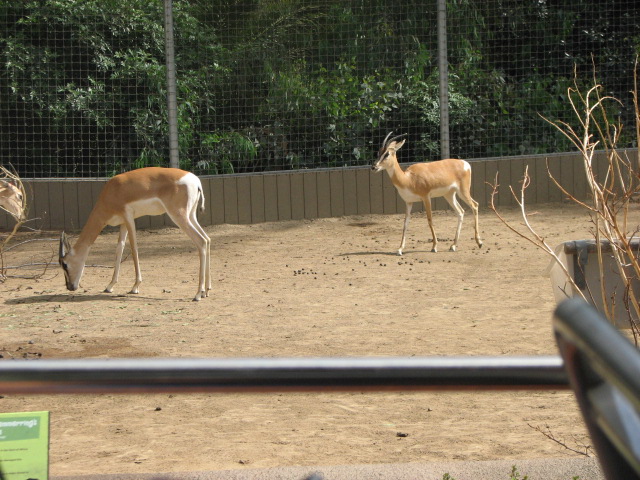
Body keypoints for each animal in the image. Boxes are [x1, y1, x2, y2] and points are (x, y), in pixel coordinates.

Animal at [59, 167, 211, 301]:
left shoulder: (128, 217)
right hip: (191, 215)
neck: (112, 191)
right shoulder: (122, 223)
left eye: (64, 264)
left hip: (178, 215)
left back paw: (198, 294)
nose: (70, 286)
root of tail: (196, 181)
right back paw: (206, 290)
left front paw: (135, 287)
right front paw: (110, 286)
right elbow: (119, 249)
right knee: (208, 239)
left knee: (201, 241)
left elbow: (133, 249)